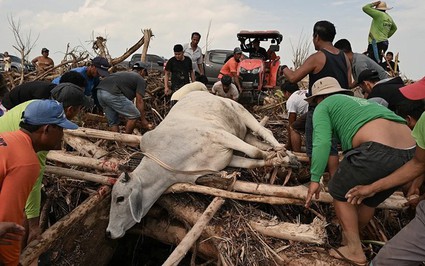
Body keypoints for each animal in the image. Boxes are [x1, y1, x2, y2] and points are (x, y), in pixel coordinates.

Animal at [107, 91, 294, 239]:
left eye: (120, 198)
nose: (109, 232)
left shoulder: (218, 134)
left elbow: (254, 152)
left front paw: (280, 159)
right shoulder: (225, 158)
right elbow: (252, 160)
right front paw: (274, 160)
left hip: (241, 111)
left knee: (265, 132)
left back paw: (287, 154)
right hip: (242, 131)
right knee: (257, 141)